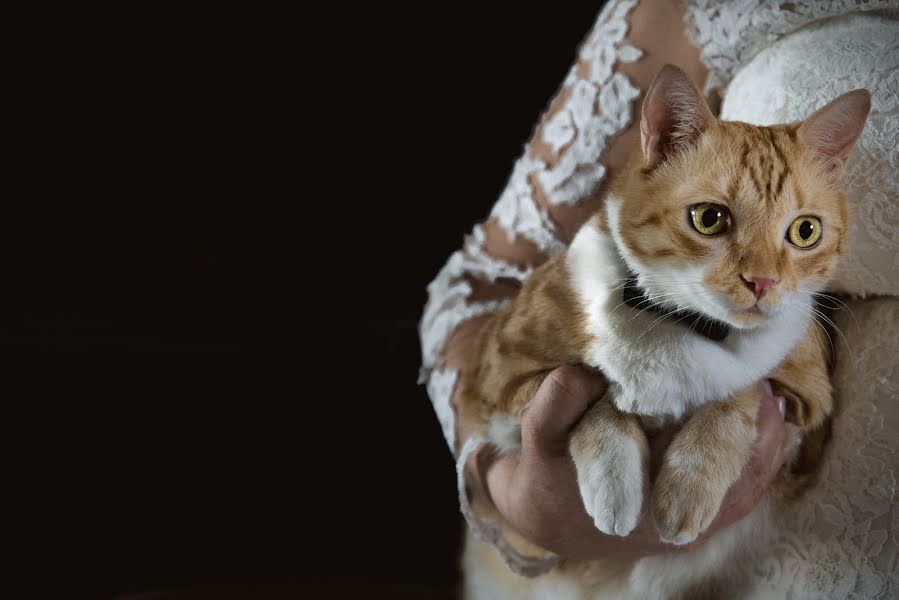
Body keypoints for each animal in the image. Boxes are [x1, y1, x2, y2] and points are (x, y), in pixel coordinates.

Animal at [460, 63, 868, 596]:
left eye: (805, 231)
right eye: (709, 218)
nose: (763, 282)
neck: (677, 322)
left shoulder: (809, 406)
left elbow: (737, 393)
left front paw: (687, 487)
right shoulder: (501, 379)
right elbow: (594, 395)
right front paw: (613, 478)